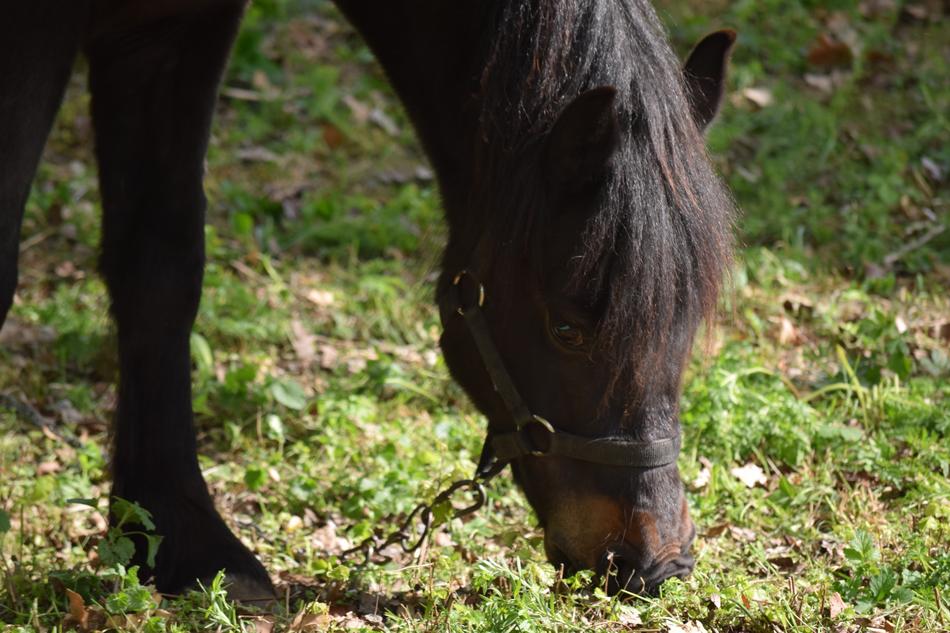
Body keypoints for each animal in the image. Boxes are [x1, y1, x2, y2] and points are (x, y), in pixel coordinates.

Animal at [0, 0, 735, 599]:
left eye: (687, 320)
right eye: (566, 328)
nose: (656, 561)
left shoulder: (175, 28)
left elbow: (161, 268)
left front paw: (180, 538)